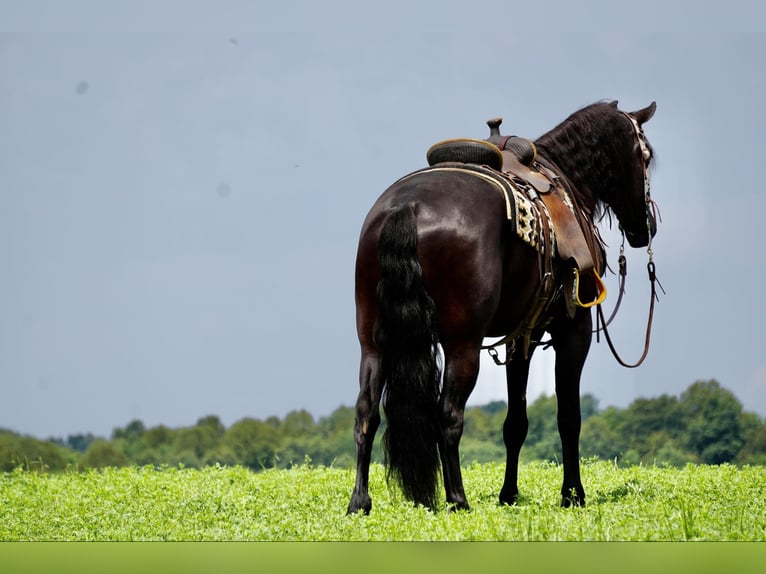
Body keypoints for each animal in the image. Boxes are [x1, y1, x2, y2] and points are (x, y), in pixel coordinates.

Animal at [346, 100, 658, 514]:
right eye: (646, 156)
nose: (646, 227)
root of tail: (407, 207)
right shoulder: (572, 329)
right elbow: (568, 417)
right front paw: (573, 494)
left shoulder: (520, 336)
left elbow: (516, 422)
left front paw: (508, 494)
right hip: (462, 343)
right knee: (448, 414)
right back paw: (457, 500)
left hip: (375, 341)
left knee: (366, 412)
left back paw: (359, 502)